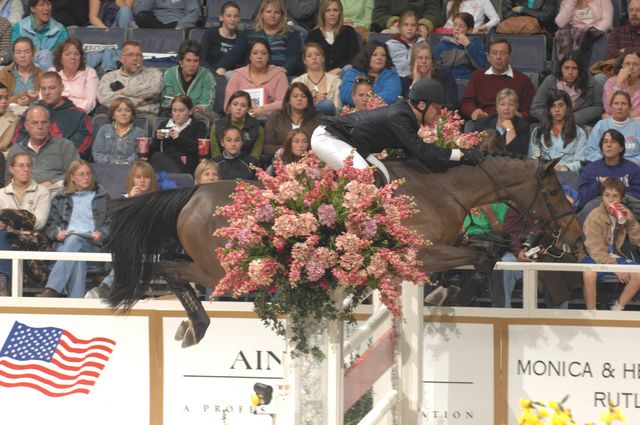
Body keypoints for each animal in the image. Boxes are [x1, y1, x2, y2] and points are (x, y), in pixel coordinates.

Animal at [106, 154, 584, 346]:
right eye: (554, 192)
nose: (575, 240)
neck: (441, 188)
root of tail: (192, 193)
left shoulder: (449, 243)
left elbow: (486, 251)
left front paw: (443, 293)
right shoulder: (421, 254)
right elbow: (481, 258)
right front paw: (442, 294)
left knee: (171, 269)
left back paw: (192, 327)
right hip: (226, 270)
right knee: (172, 271)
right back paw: (197, 326)